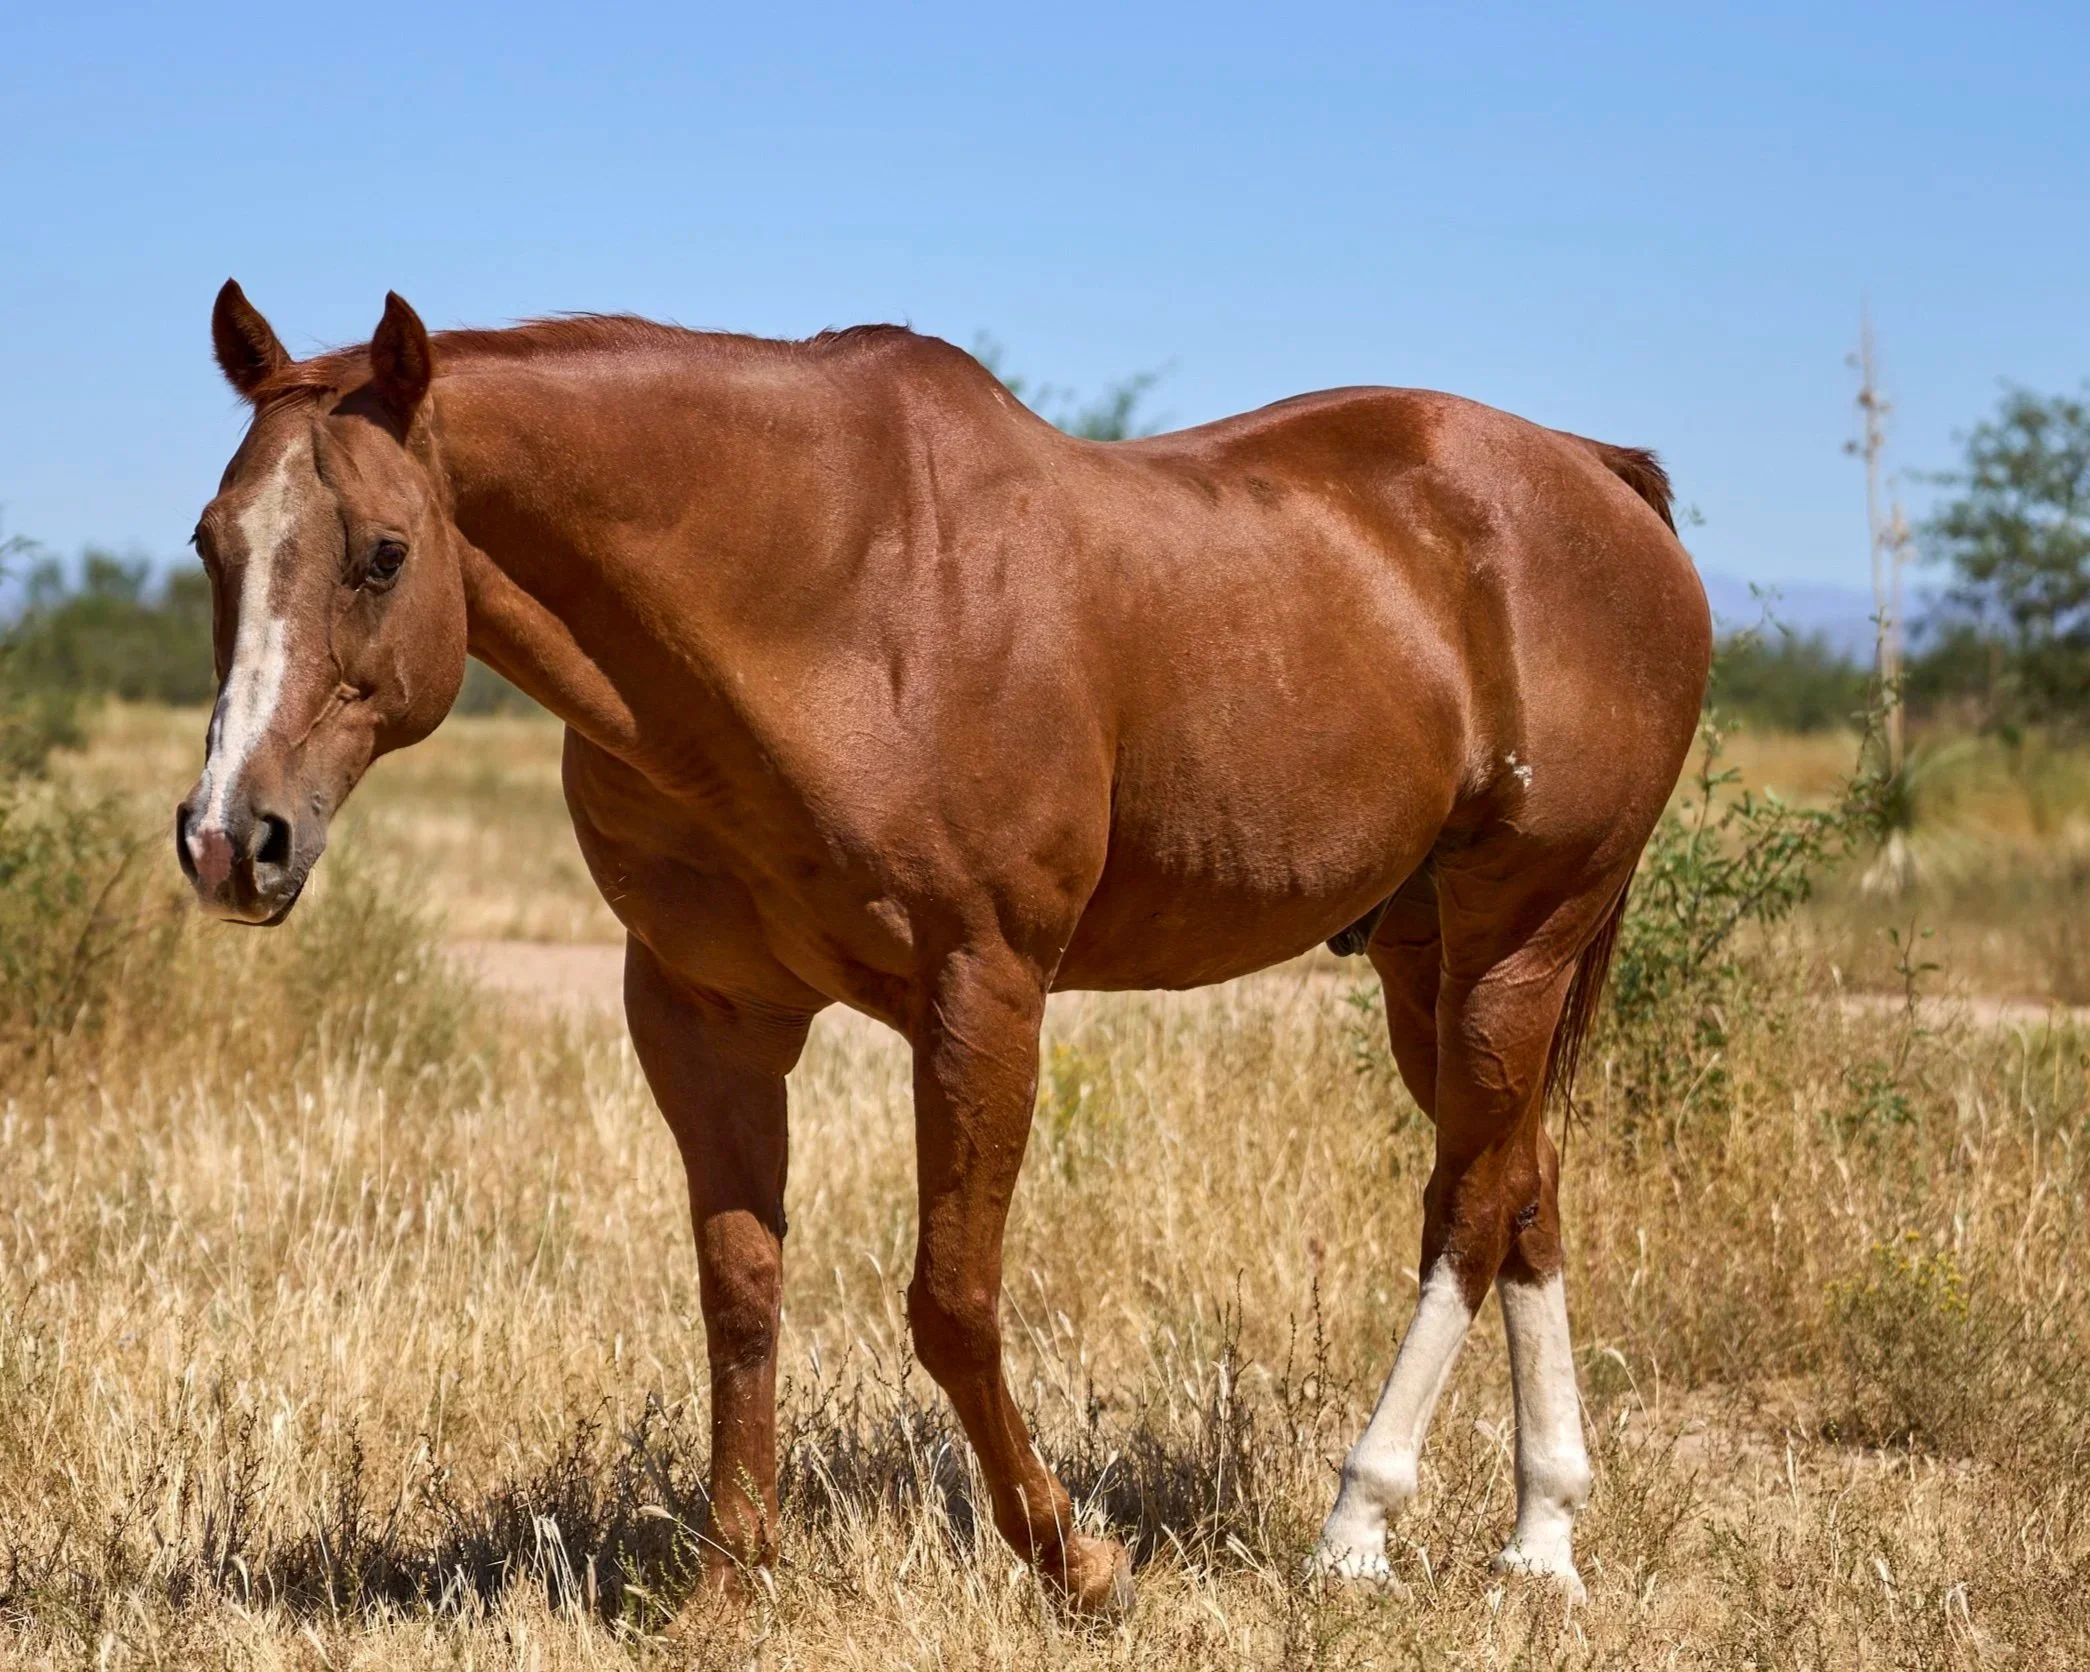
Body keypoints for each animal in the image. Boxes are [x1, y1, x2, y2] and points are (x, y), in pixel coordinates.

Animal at [176, 280, 1710, 1617]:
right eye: (212, 544)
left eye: (383, 551)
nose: (229, 838)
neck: (828, 593)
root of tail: (1592, 479)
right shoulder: (703, 1012)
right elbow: (739, 1292)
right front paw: (730, 1586)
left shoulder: (983, 994)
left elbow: (951, 1303)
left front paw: (1079, 1565)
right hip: (1423, 958)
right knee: (1520, 1186)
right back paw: (1541, 1540)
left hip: (1520, 936)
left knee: (1467, 1209)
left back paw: (1355, 1529)